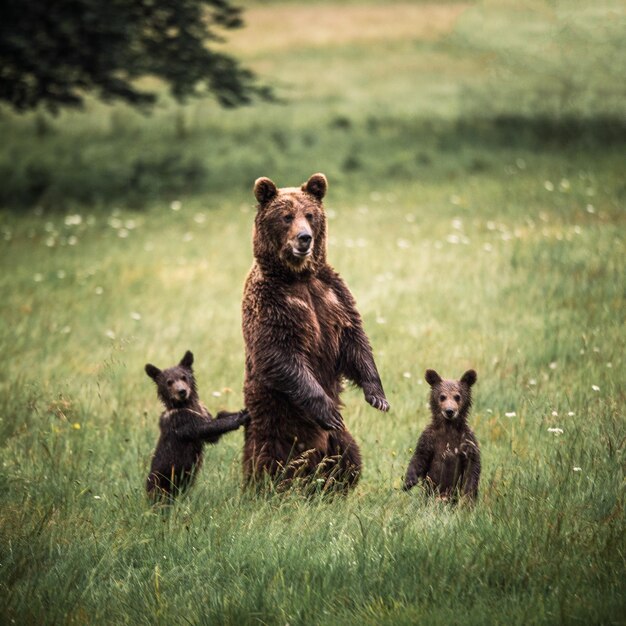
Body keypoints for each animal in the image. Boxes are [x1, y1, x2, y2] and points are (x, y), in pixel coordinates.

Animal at [241, 173, 388, 490]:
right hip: (275, 423)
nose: (304, 238)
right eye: (286, 216)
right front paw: (329, 411)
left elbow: (354, 340)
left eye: (309, 214)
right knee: (269, 460)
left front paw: (377, 395)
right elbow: (279, 353)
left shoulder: (333, 296)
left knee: (350, 457)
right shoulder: (270, 304)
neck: (297, 276)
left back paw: (333, 485)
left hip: (337, 442)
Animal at [402, 368, 480, 500]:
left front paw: (468, 494)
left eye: (457, 396)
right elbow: (419, 458)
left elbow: (472, 466)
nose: (449, 411)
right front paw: (408, 482)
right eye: (442, 396)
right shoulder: (429, 439)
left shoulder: (467, 440)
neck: (448, 427)